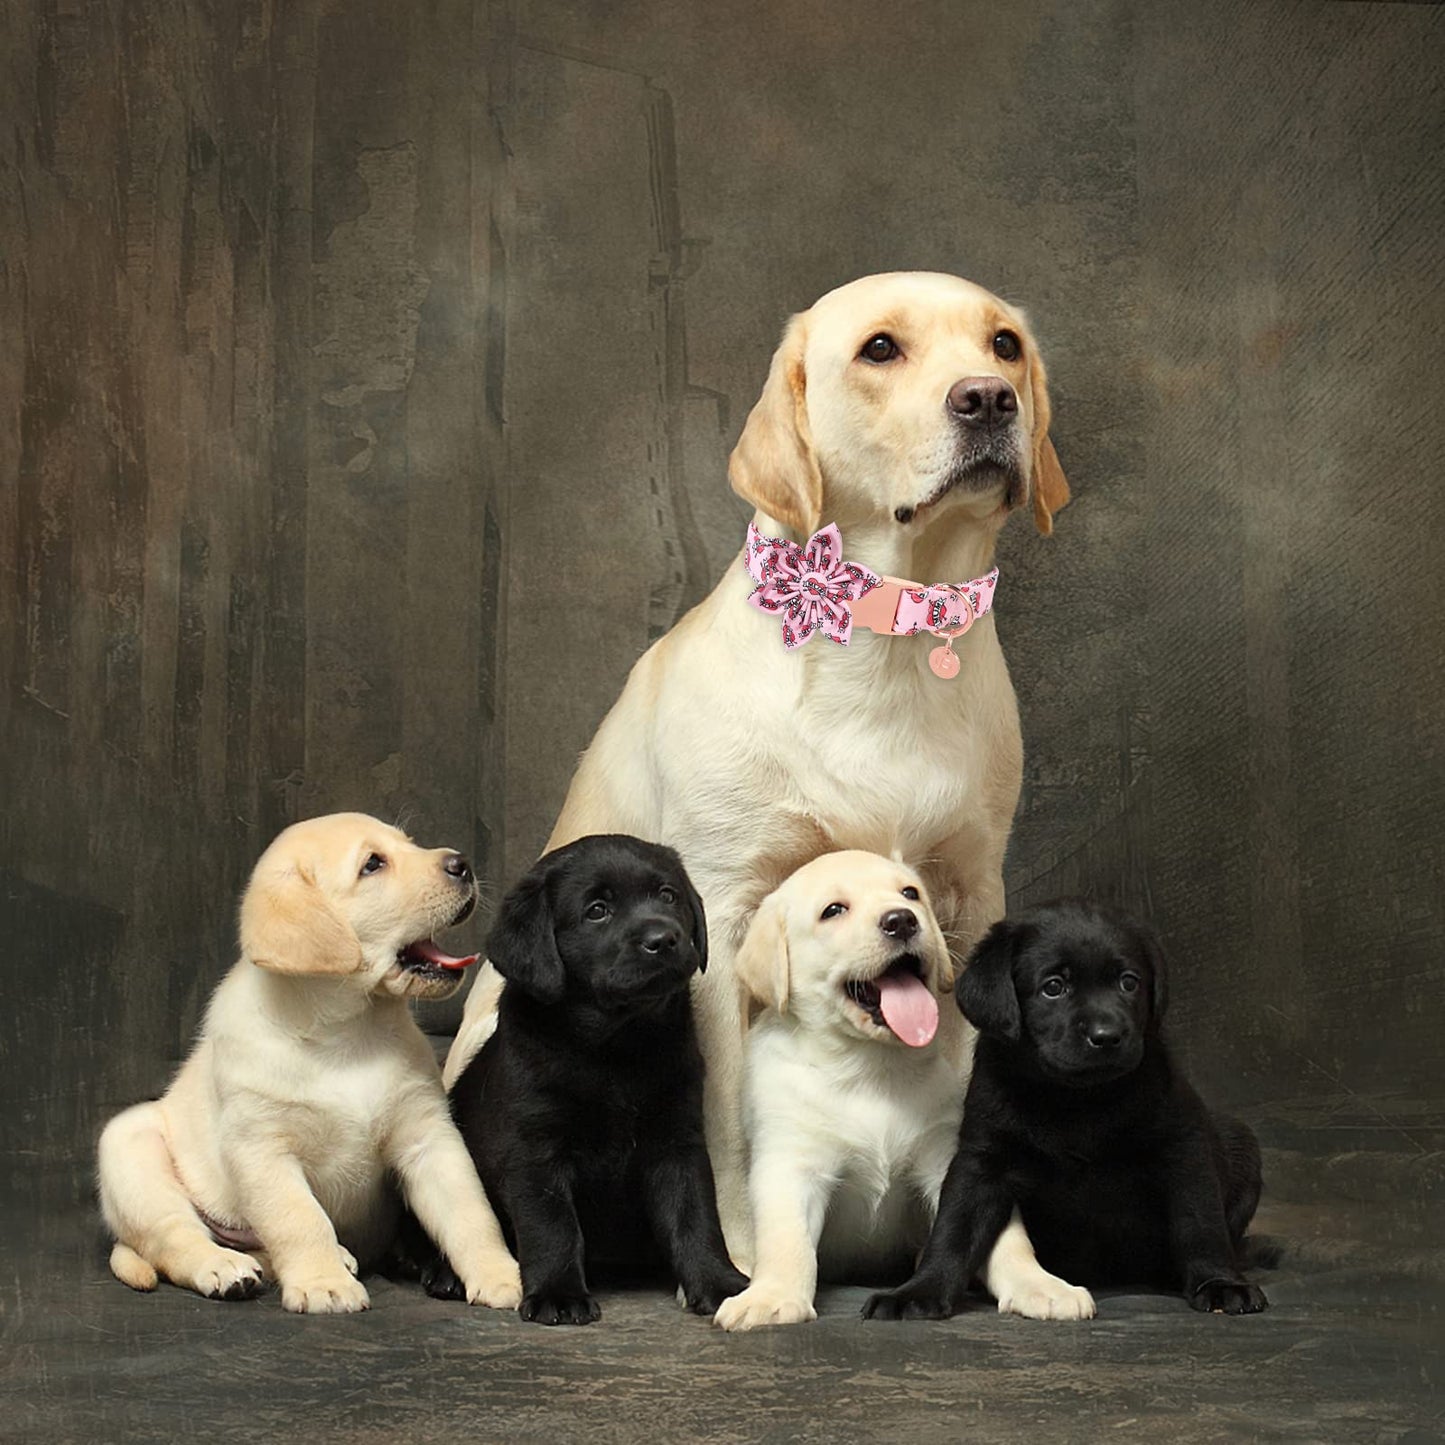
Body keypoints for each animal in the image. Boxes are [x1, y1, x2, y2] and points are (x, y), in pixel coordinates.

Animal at [98, 814, 523, 1312]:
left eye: (409, 843)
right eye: (372, 864)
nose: (462, 864)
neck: (346, 1033)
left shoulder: (430, 1136)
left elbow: (470, 1213)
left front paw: (501, 1274)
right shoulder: (263, 1149)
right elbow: (300, 1220)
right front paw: (324, 1284)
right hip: (130, 1149)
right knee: (175, 1237)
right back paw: (225, 1268)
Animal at [427, 832, 745, 1323]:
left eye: (668, 895)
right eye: (597, 910)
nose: (664, 938)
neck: (617, 1046)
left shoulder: (678, 1141)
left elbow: (695, 1216)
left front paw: (719, 1282)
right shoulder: (535, 1150)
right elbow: (552, 1226)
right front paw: (558, 1294)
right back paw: (444, 1274)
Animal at [713, 843, 965, 1329]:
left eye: (910, 893)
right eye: (833, 911)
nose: (902, 920)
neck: (868, 1066)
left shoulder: (942, 1154)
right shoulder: (791, 1162)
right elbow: (788, 1240)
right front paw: (774, 1296)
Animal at [861, 901, 1271, 1323]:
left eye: (1129, 982)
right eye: (1054, 987)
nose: (1107, 1036)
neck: (1075, 1099)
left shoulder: (1184, 1146)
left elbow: (1200, 1223)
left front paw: (1219, 1282)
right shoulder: (981, 1160)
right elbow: (954, 1227)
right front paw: (919, 1290)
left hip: (1241, 1141)